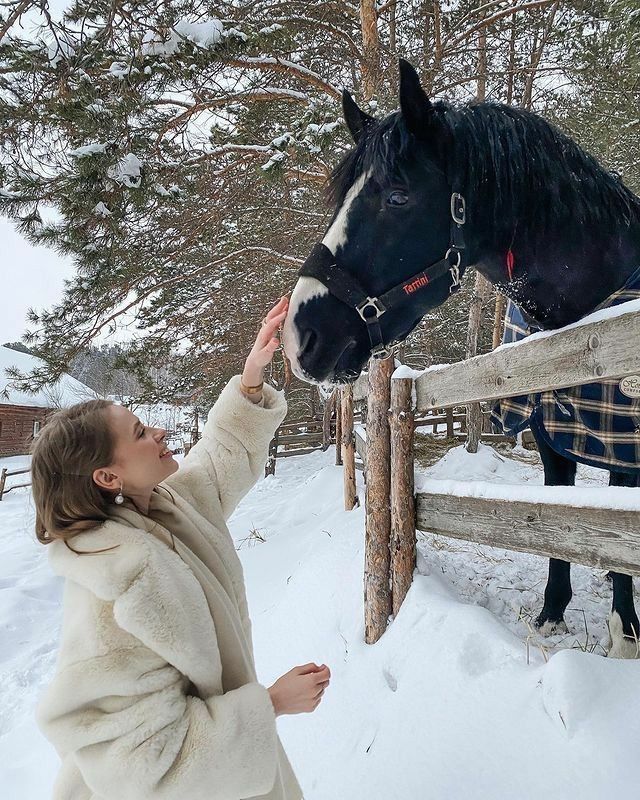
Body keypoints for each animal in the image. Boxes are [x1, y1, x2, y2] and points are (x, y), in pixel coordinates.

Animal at [284, 56, 640, 656]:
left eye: (398, 195)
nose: (298, 335)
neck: (588, 329)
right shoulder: (551, 439)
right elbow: (561, 524)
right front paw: (552, 614)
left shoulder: (628, 453)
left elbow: (617, 546)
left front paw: (625, 636)